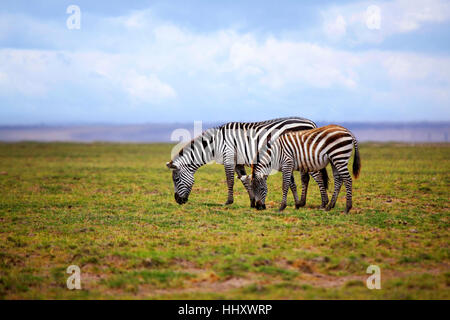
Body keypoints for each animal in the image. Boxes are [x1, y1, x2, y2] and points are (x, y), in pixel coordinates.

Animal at [167, 117, 328, 208]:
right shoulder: (238, 162)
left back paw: (323, 203)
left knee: (318, 177)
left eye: (176, 179)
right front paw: (252, 201)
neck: (215, 144)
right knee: (305, 178)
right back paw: (302, 202)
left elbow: (230, 180)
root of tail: (311, 123)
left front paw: (228, 201)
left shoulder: (229, 158)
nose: (178, 201)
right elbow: (244, 181)